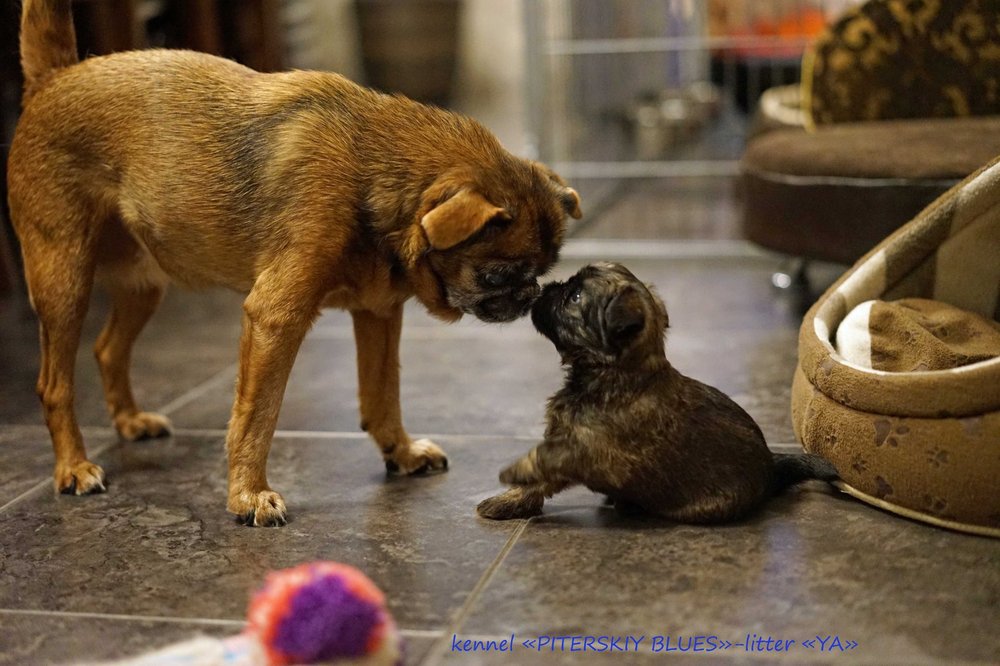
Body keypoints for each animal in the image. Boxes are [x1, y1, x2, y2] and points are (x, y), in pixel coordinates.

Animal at [8, 0, 581, 526]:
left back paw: (129, 420)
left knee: (107, 349)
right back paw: (73, 467)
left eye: (538, 272)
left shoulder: (378, 314)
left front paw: (399, 451)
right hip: (64, 281)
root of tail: (55, 76)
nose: (531, 294)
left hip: (144, 283)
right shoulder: (274, 319)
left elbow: (383, 394)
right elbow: (256, 416)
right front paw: (248, 494)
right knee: (54, 384)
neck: (372, 170)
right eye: (499, 274)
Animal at [477, 262, 837, 522]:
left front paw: (512, 477)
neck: (617, 372)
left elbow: (543, 464)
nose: (548, 287)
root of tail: (771, 467)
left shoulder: (583, 451)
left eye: (575, 297)